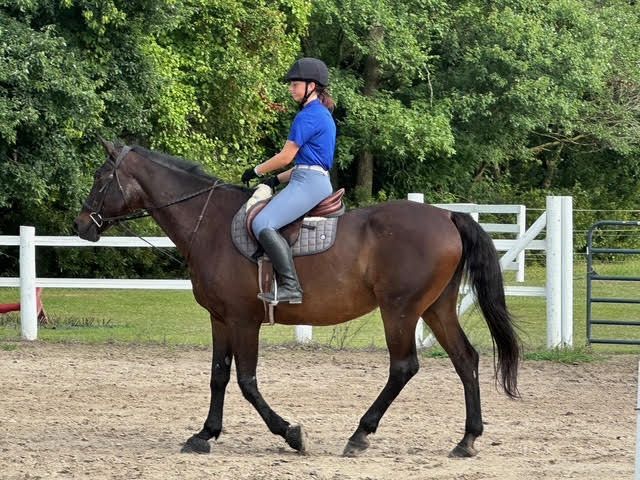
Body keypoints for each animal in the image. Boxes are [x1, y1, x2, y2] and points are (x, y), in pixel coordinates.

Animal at [74, 139, 520, 458]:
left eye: (100, 177)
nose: (81, 226)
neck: (211, 223)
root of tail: (447, 215)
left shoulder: (243, 320)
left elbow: (246, 381)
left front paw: (290, 433)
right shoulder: (220, 318)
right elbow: (219, 375)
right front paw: (204, 434)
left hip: (401, 310)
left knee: (404, 367)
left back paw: (360, 434)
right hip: (436, 308)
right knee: (465, 359)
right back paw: (466, 440)